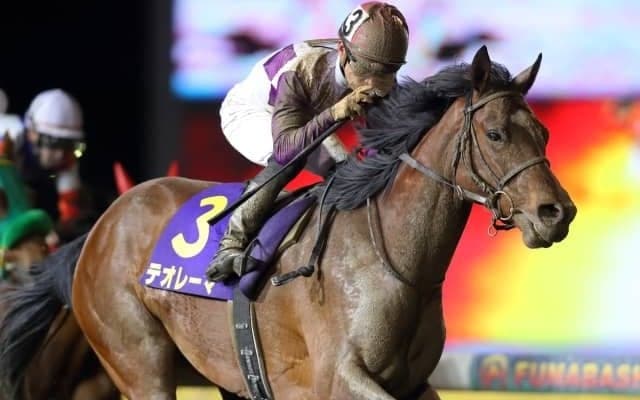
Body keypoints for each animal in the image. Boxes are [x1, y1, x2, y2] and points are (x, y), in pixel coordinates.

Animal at [0, 46, 576, 399]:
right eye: (496, 134)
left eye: (544, 132)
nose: (557, 213)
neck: (391, 257)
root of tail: (100, 228)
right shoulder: (339, 379)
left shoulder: (414, 384)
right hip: (136, 358)